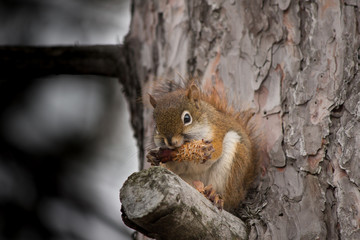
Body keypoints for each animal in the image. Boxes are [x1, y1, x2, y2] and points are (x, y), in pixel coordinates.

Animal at [146, 81, 258, 213]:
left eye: (187, 118)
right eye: (156, 127)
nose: (170, 141)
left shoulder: (217, 131)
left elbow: (214, 152)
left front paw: (203, 151)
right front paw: (152, 156)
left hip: (232, 168)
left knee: (227, 199)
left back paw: (215, 196)